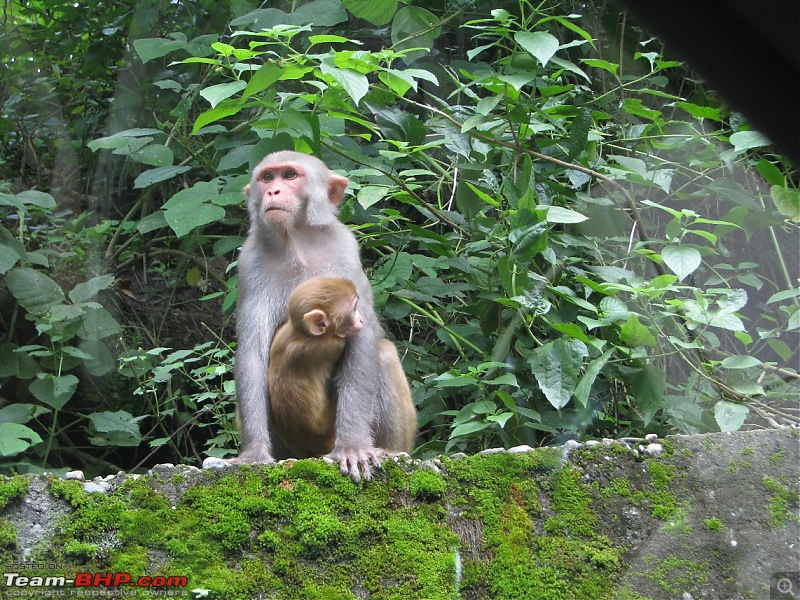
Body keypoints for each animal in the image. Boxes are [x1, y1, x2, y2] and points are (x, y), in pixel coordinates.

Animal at [233, 151, 416, 482]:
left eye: (289, 175)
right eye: (267, 177)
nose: (272, 191)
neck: (297, 243)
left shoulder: (344, 249)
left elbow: (363, 341)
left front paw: (352, 446)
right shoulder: (250, 262)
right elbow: (252, 354)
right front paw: (254, 454)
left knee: (383, 353)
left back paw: (390, 450)